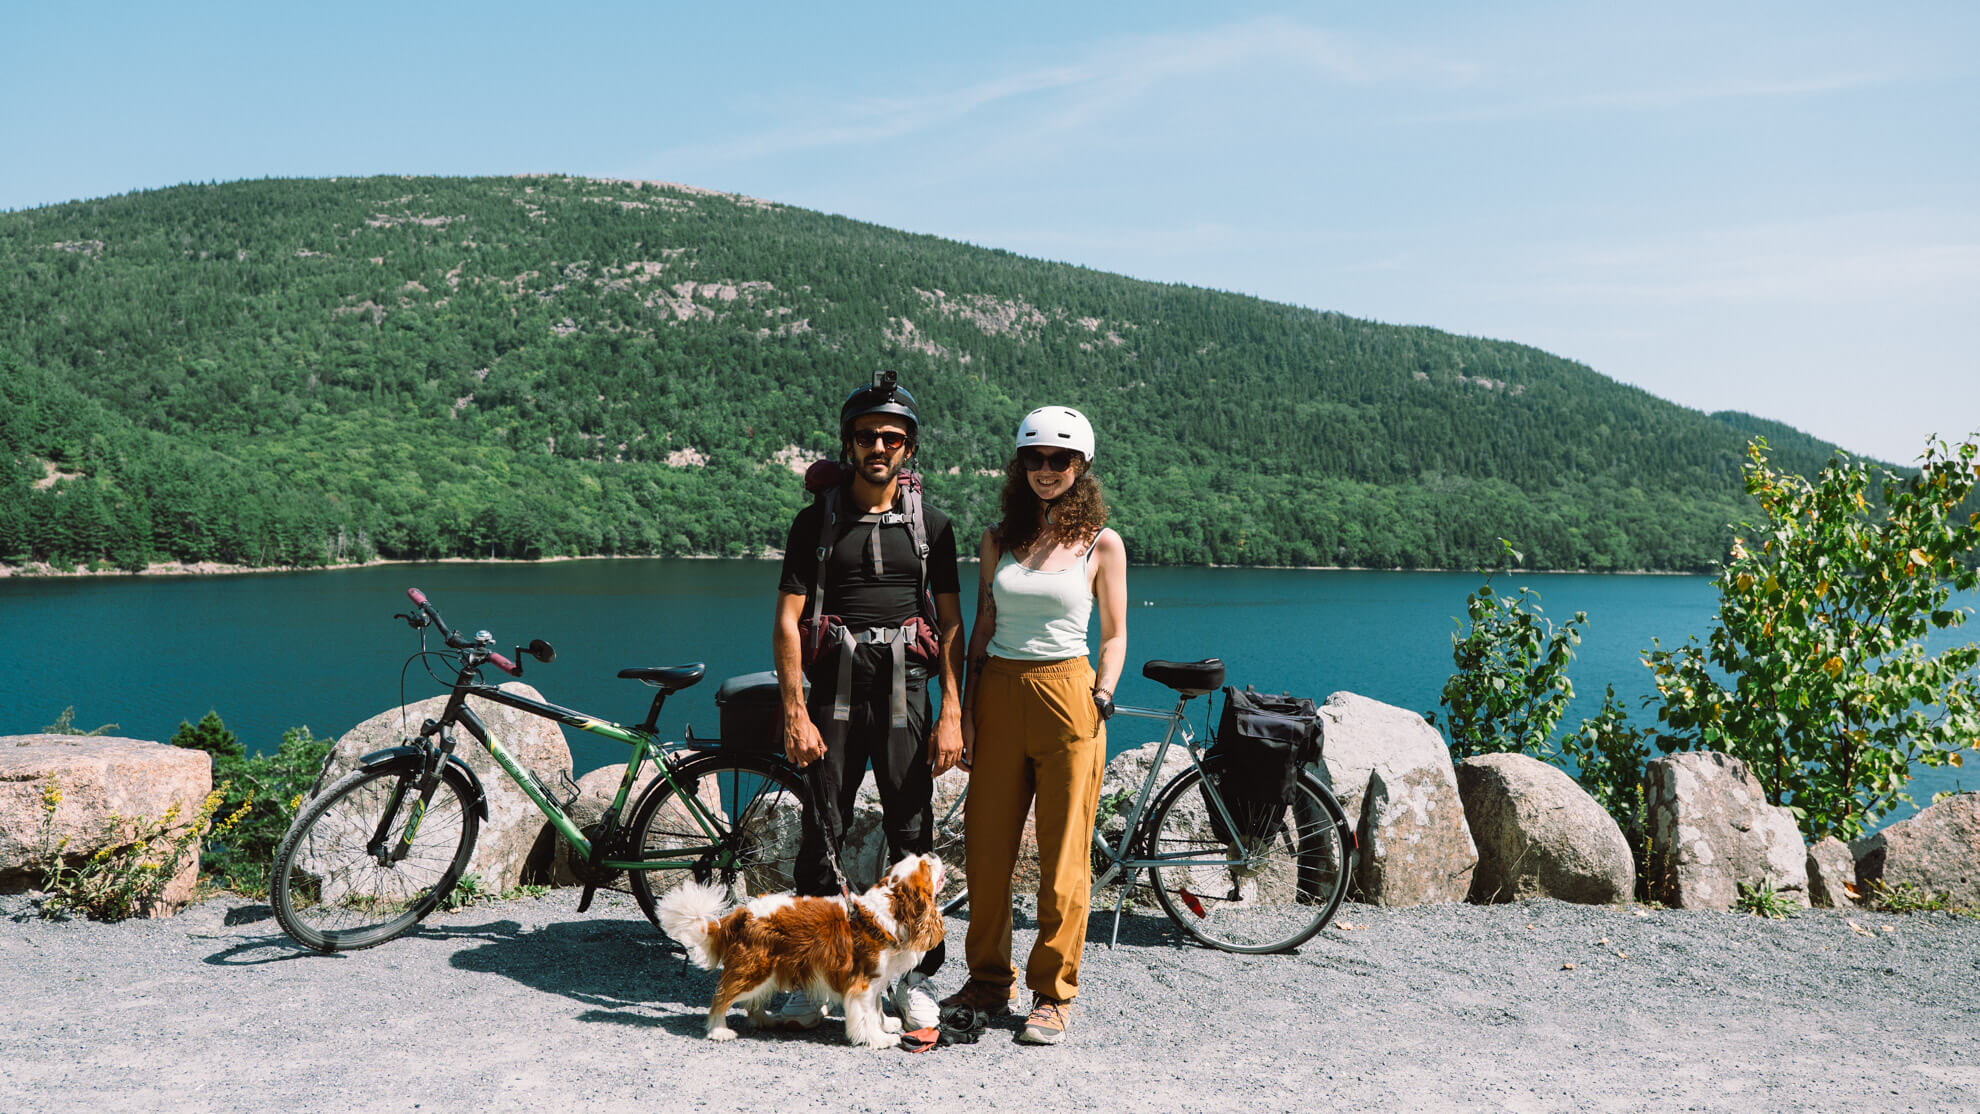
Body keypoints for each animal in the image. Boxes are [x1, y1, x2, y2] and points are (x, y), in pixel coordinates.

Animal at [653, 858, 946, 1052]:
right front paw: (878, 1039)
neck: (890, 910)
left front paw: (887, 1026)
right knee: (722, 996)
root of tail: (741, 914)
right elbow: (866, 1015)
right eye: (926, 866)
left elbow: (876, 1010)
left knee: (751, 1001)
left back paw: (764, 1020)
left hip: (769, 971)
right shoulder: (862, 983)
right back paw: (718, 1030)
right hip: (755, 969)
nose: (934, 854)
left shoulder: (874, 982)